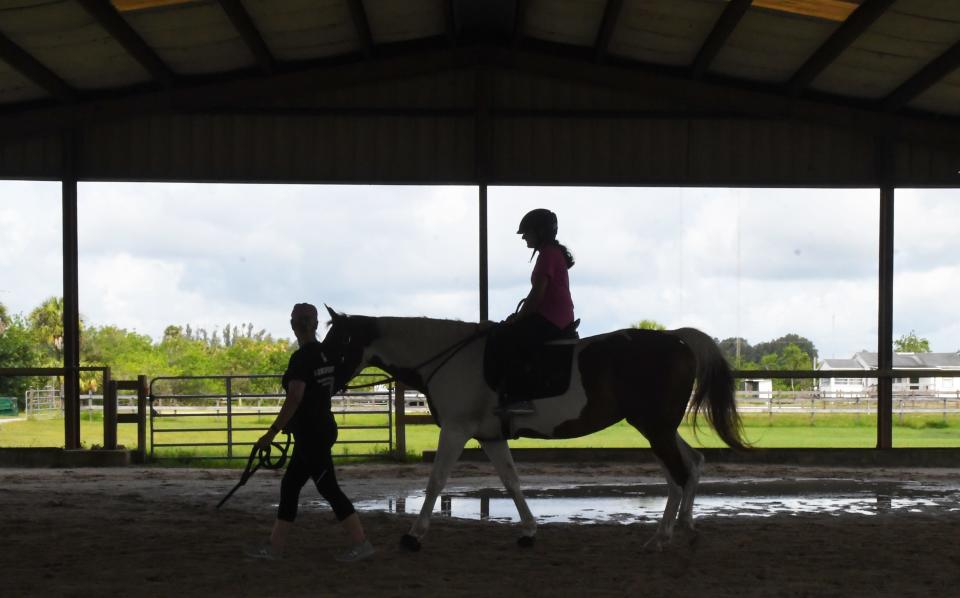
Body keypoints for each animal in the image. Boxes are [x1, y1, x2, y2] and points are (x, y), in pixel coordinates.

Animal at [322, 310, 752, 552]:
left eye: (338, 344)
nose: (323, 384)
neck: (450, 358)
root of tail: (677, 339)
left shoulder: (457, 430)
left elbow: (436, 481)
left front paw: (414, 535)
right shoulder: (490, 436)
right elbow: (511, 481)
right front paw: (529, 531)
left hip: (654, 427)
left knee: (678, 474)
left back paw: (663, 537)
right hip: (657, 426)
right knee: (691, 465)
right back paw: (684, 527)